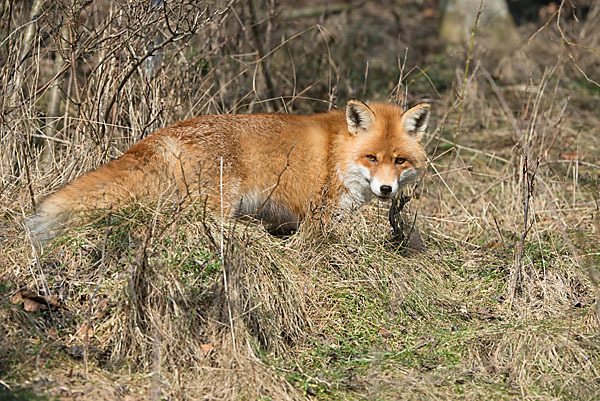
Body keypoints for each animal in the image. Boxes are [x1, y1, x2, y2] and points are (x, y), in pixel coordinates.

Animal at [27, 101, 426, 242]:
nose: (387, 190)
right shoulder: (319, 215)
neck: (337, 153)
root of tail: (170, 130)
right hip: (221, 200)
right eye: (371, 158)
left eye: (399, 161)